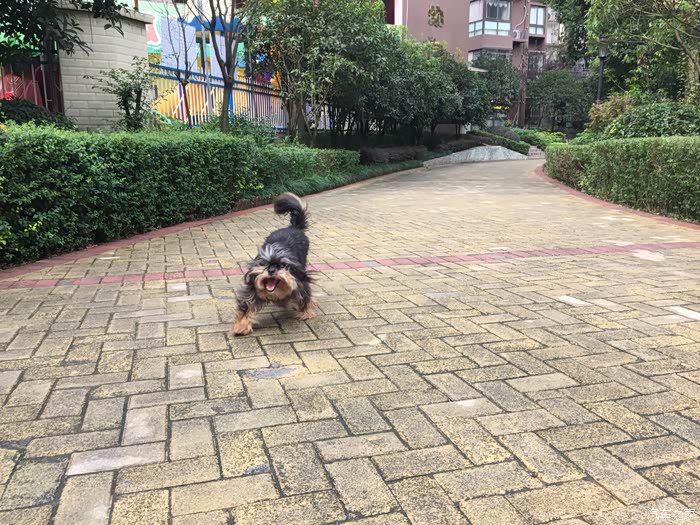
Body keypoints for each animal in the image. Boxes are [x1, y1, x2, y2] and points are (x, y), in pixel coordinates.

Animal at [232, 193, 315, 336]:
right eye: (264, 264)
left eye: (282, 265)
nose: (271, 271)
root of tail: (294, 227)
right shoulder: (252, 288)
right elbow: (247, 307)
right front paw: (241, 326)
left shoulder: (300, 281)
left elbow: (304, 296)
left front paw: (306, 313)